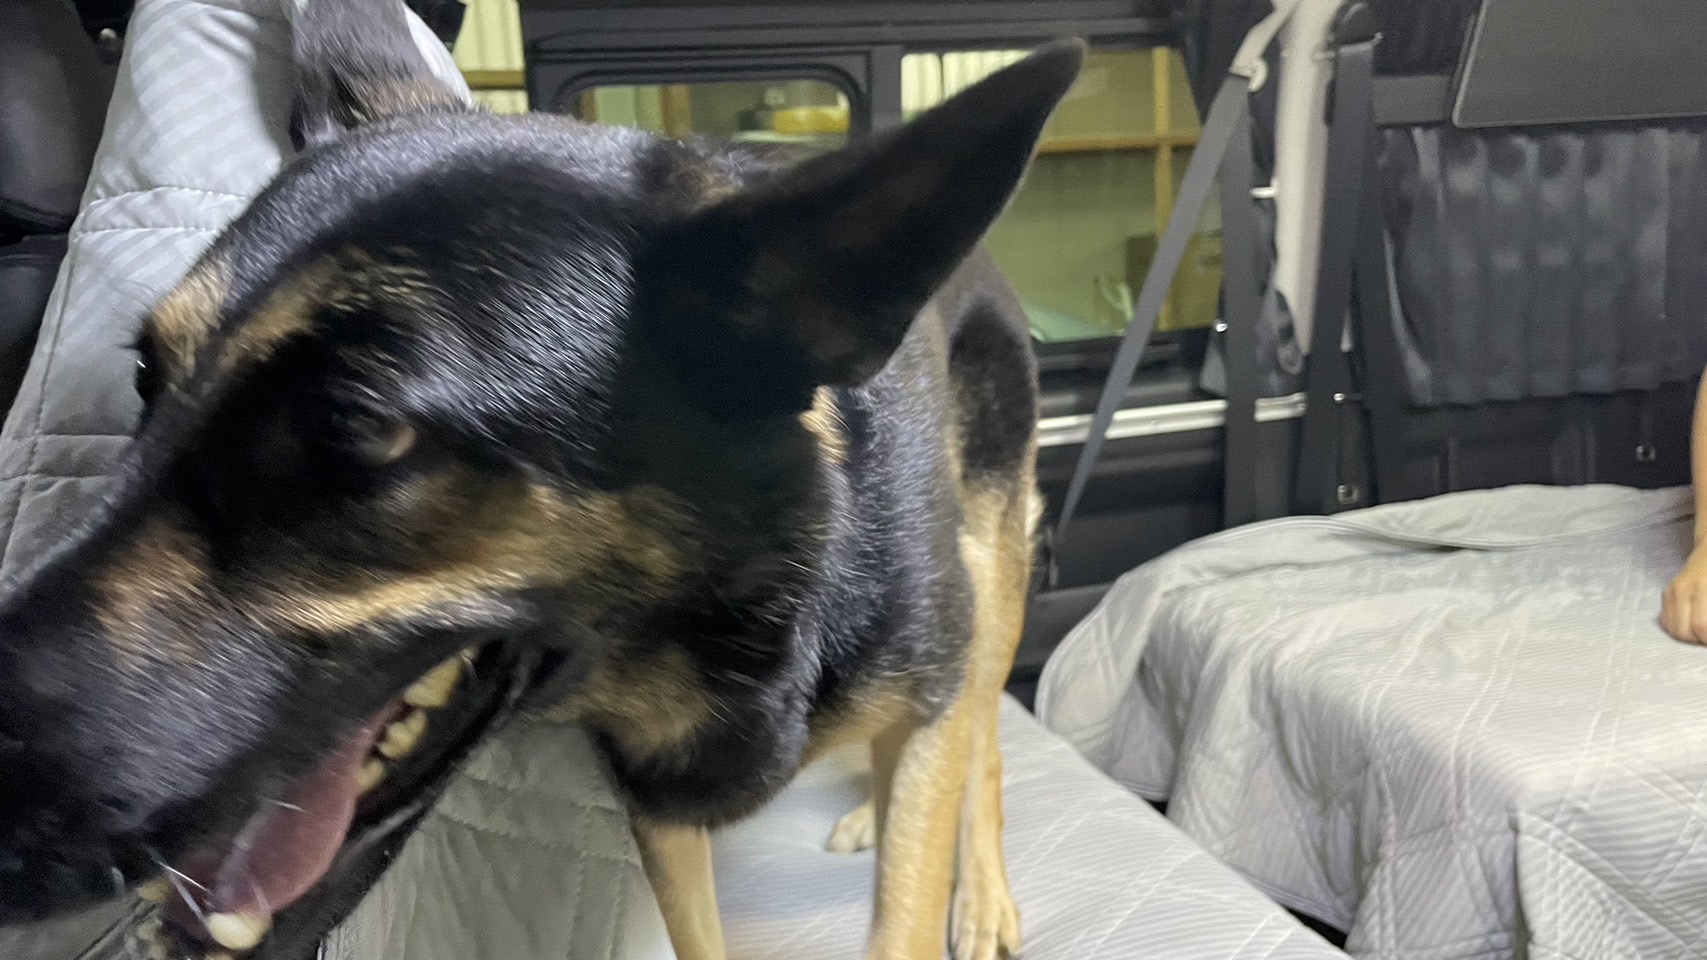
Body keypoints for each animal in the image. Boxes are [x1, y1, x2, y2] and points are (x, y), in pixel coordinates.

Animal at [0, 2, 1081, 958]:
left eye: (354, 426)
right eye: (148, 377)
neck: (745, 607)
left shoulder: (925, 688)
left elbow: (919, 854)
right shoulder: (657, 813)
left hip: (993, 569)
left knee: (980, 732)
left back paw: (975, 883)